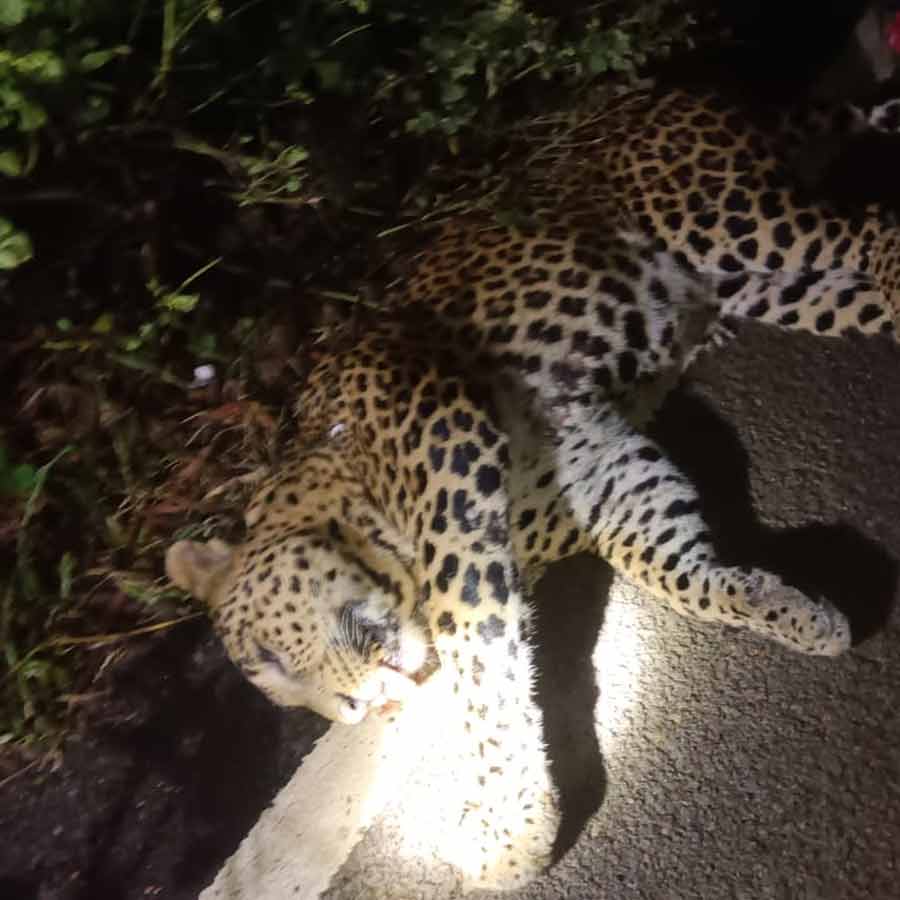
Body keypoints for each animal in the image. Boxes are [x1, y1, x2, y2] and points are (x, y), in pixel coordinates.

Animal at [166, 86, 899, 893]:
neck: (344, 469)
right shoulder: (607, 476)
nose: (364, 708)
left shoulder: (449, 456)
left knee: (873, 227)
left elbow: (478, 668)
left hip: (729, 220)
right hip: (768, 288)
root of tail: (654, 95)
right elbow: (681, 574)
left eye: (270, 660)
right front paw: (793, 612)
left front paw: (509, 830)